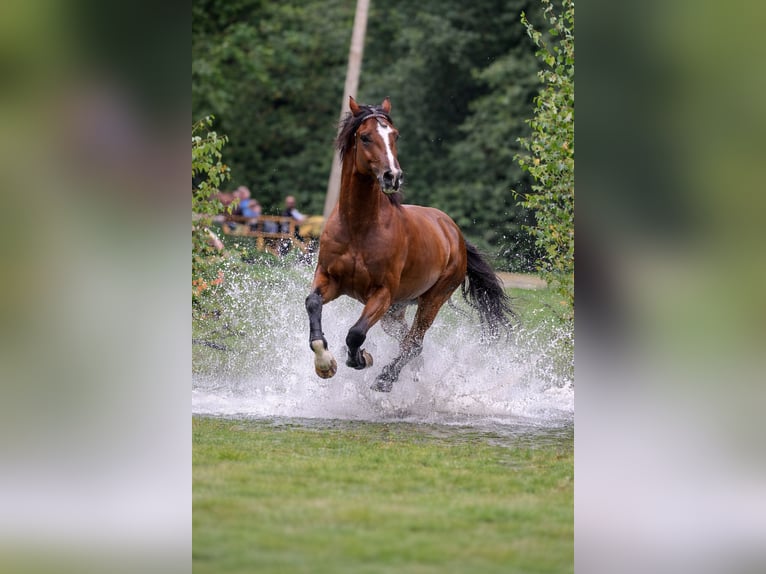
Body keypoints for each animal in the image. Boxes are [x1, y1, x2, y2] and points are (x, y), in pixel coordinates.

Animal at [305, 97, 515, 392]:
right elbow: (313, 303)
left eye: (395, 135)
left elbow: (356, 333)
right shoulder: (330, 278)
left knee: (414, 343)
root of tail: (454, 233)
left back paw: (385, 379)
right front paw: (325, 363)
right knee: (409, 343)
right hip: (396, 311)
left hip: (432, 300)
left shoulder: (382, 293)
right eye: (365, 137)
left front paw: (361, 359)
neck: (358, 227)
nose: (392, 176)